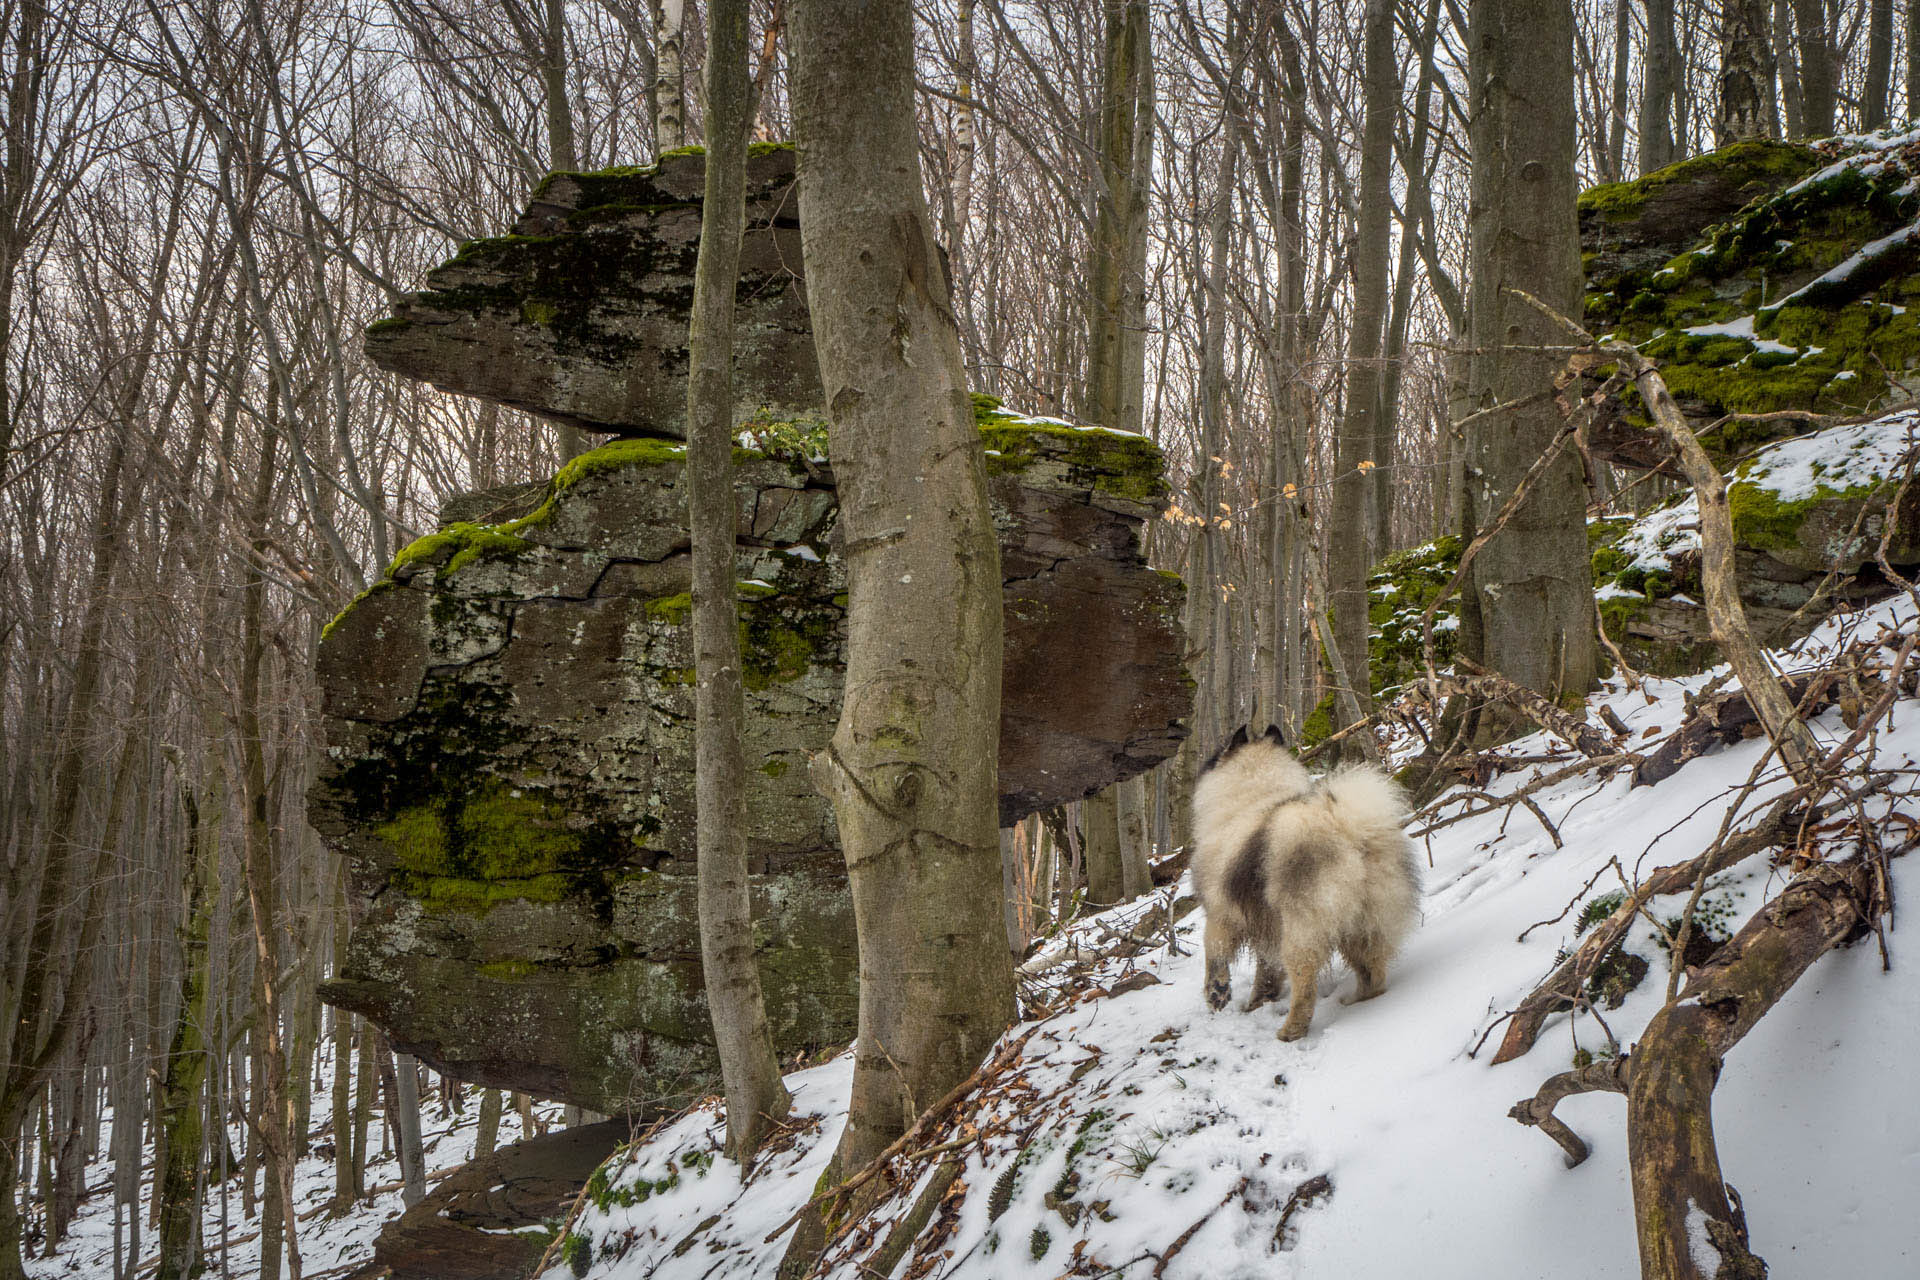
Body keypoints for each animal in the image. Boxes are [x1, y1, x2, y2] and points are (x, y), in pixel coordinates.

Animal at [1190, 721, 1420, 1043]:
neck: (1253, 799)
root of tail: (1347, 829)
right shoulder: (1267, 927)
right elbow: (1266, 971)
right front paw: (1258, 1002)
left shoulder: (1222, 915)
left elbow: (1215, 955)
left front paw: (1217, 994)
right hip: (1365, 926)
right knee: (1373, 974)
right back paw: (1356, 1000)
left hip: (1302, 932)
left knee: (1305, 987)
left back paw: (1290, 1031)